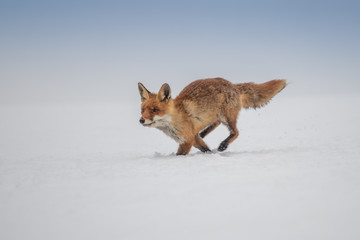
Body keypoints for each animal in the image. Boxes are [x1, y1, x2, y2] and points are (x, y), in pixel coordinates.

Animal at [139, 77, 286, 156]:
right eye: (142, 110)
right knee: (215, 125)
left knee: (236, 132)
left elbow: (180, 155)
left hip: (226, 117)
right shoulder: (193, 138)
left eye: (155, 110)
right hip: (217, 116)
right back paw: (204, 132)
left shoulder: (187, 140)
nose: (141, 120)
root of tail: (233, 85)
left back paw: (223, 145)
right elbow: (205, 149)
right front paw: (210, 154)